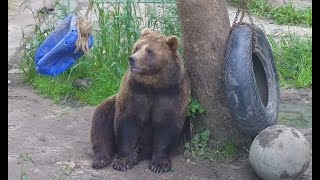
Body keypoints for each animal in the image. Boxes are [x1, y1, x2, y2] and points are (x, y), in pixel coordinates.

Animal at [90, 28, 190, 173]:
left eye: (150, 51)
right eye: (137, 47)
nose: (132, 59)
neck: (153, 85)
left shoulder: (171, 94)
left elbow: (166, 125)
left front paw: (159, 164)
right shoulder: (135, 92)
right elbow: (128, 122)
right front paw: (122, 161)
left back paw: (140, 152)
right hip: (112, 104)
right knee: (102, 119)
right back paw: (101, 158)